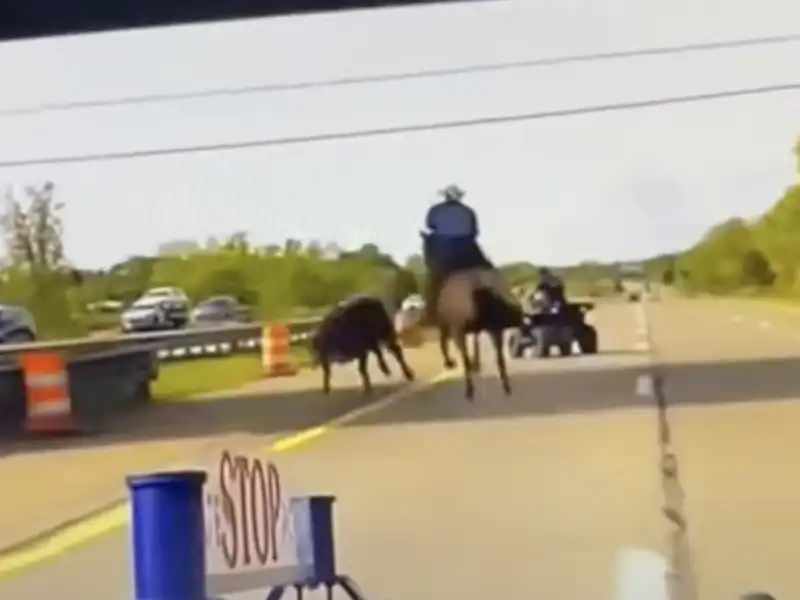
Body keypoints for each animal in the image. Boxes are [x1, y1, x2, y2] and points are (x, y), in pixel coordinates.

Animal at [418, 232, 524, 400]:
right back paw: (506, 386)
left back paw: (469, 390)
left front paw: (450, 362)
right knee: (499, 358)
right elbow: (475, 342)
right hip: (494, 328)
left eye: (425, 248)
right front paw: (476, 364)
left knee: (465, 358)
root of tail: (478, 283)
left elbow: (445, 342)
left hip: (459, 331)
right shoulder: (478, 327)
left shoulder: (450, 326)